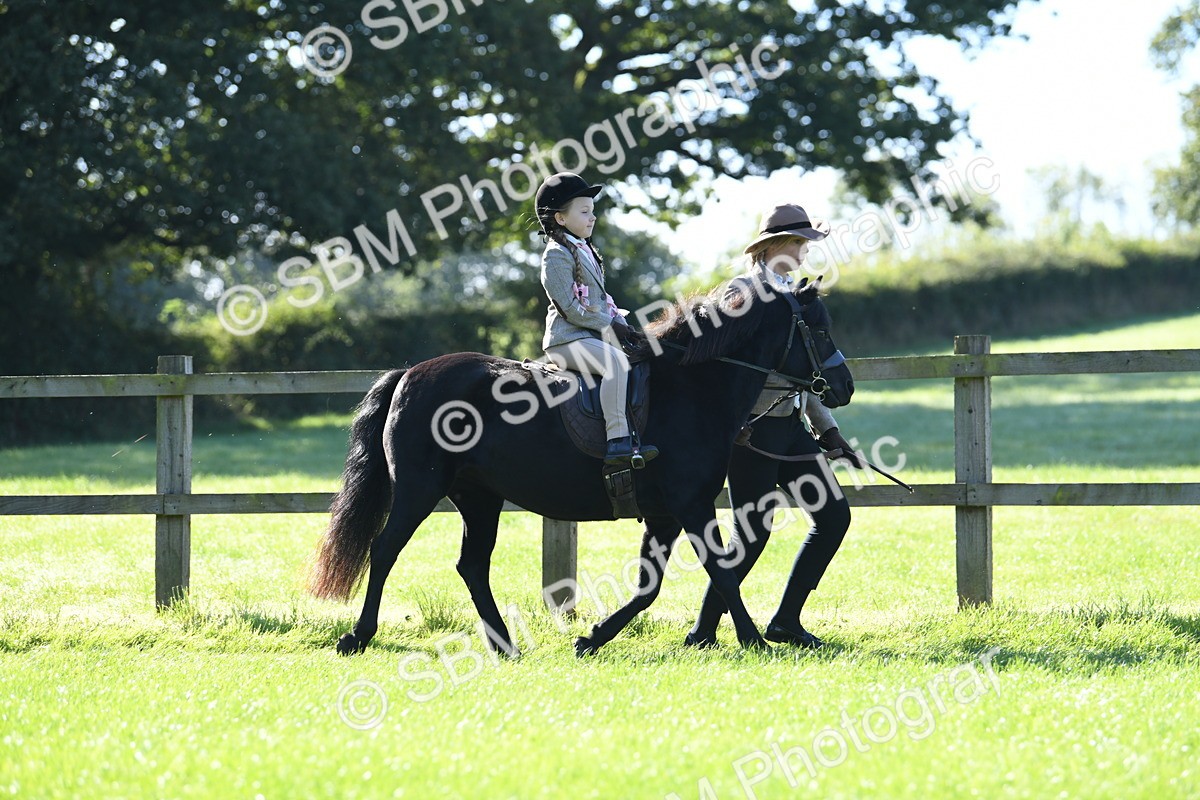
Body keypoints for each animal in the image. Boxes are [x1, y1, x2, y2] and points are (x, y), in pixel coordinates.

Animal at [308, 277, 854, 657]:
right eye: (821, 329)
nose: (844, 388)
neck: (693, 388)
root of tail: (408, 375)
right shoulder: (691, 504)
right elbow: (720, 569)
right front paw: (753, 640)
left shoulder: (666, 514)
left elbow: (649, 587)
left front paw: (592, 638)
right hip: (419, 490)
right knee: (385, 550)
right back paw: (358, 637)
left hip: (479, 498)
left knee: (472, 565)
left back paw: (504, 644)